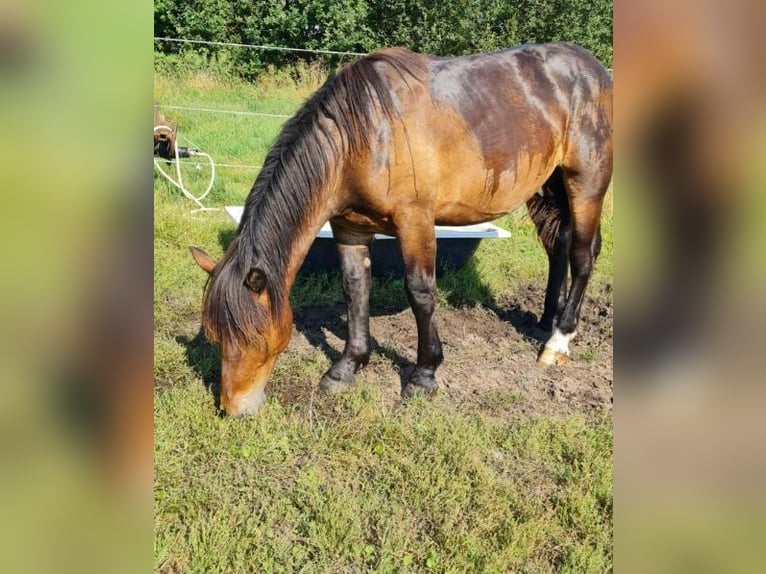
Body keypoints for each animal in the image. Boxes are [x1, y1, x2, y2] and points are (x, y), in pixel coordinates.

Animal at [190, 43, 613, 417]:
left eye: (255, 338)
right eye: (215, 336)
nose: (234, 409)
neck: (363, 136)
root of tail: (594, 68)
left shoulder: (415, 221)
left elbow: (421, 293)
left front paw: (424, 375)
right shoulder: (349, 229)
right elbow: (355, 291)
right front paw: (346, 368)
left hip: (586, 183)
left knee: (582, 256)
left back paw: (558, 341)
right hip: (547, 185)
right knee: (558, 247)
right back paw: (546, 319)